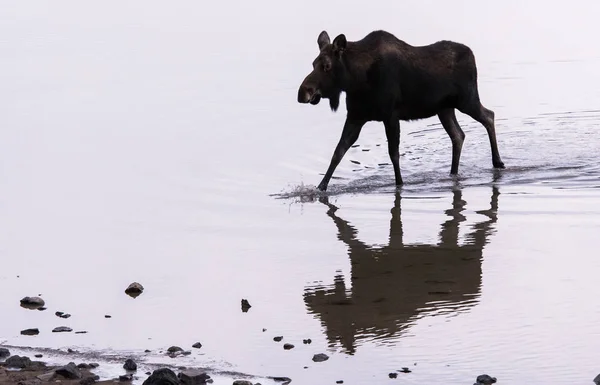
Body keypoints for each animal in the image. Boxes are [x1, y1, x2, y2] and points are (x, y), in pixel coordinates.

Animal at [298, 30, 504, 190]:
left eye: (326, 66)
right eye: (313, 64)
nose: (303, 92)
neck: (356, 80)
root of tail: (472, 54)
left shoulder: (390, 115)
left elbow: (393, 154)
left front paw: (399, 183)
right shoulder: (356, 116)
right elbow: (338, 152)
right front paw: (320, 187)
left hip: (467, 100)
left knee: (489, 116)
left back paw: (498, 162)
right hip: (445, 109)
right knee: (458, 135)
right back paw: (453, 173)